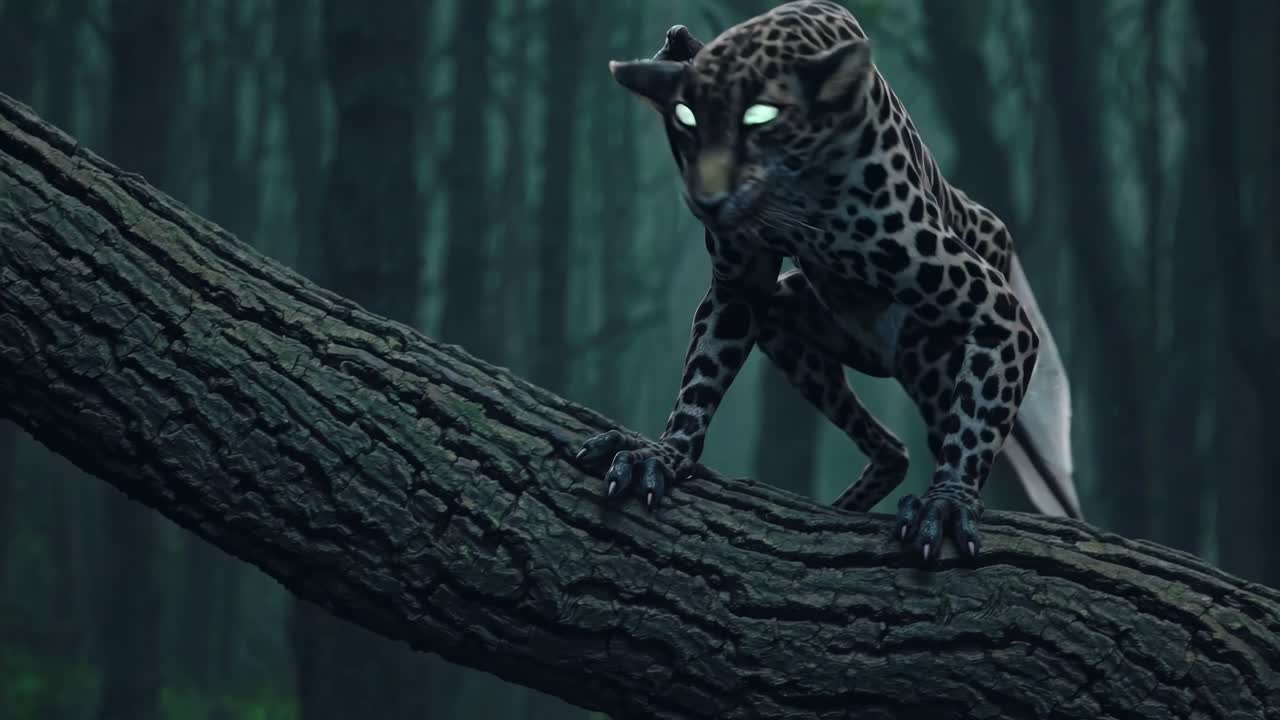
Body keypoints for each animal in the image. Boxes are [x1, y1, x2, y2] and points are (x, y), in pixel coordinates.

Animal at [575, 0, 1081, 561]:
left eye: (758, 117)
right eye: (686, 120)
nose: (706, 198)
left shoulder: (998, 310)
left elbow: (973, 422)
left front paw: (947, 505)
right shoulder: (738, 290)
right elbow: (701, 377)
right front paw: (661, 454)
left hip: (929, 354)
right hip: (793, 326)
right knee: (892, 448)